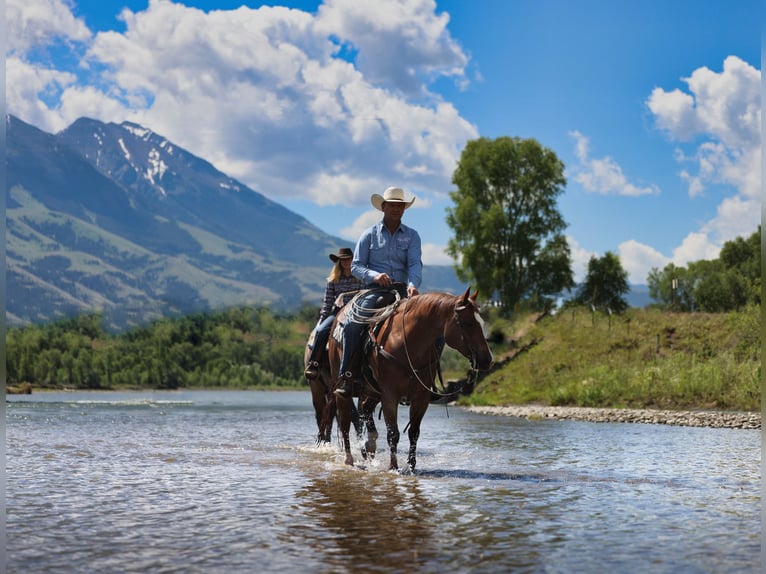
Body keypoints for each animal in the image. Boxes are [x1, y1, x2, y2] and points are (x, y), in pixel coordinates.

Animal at [326, 287, 494, 471]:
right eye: (468, 323)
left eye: (481, 322)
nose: (487, 360)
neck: (405, 342)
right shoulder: (390, 395)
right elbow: (393, 433)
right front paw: (393, 467)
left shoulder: (421, 397)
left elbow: (414, 432)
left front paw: (411, 466)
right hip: (343, 387)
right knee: (345, 421)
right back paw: (348, 458)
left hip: (372, 391)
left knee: (365, 409)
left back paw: (369, 446)